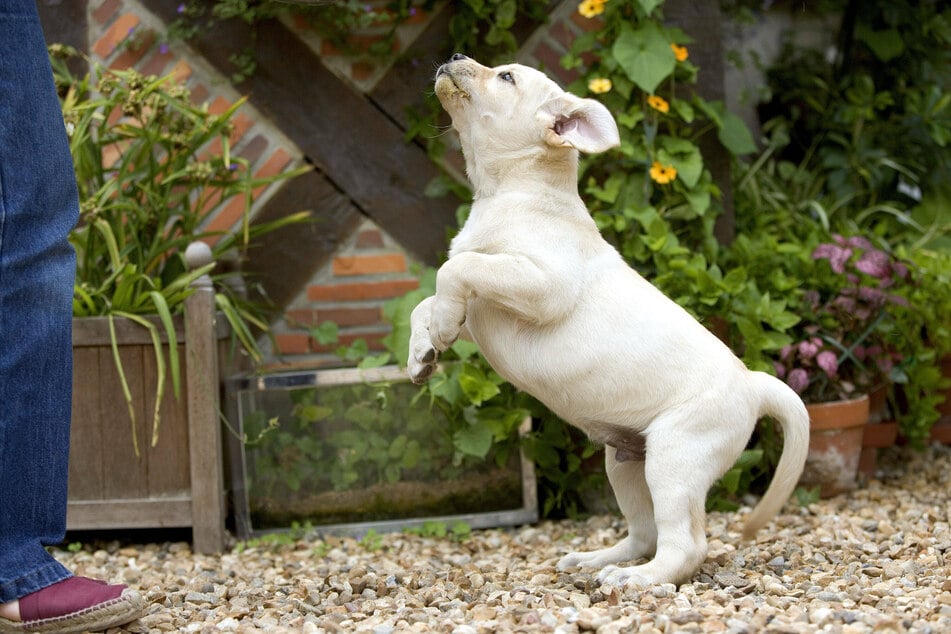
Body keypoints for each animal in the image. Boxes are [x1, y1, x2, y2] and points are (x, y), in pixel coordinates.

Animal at [410, 55, 812, 588]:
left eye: (507, 77)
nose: (454, 58)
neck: (512, 193)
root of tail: (753, 384)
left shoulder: (542, 286)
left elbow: (456, 269)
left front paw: (440, 329)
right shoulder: (486, 310)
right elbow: (427, 298)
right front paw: (421, 354)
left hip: (674, 458)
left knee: (685, 544)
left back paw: (638, 580)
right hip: (624, 463)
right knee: (644, 534)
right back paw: (596, 561)